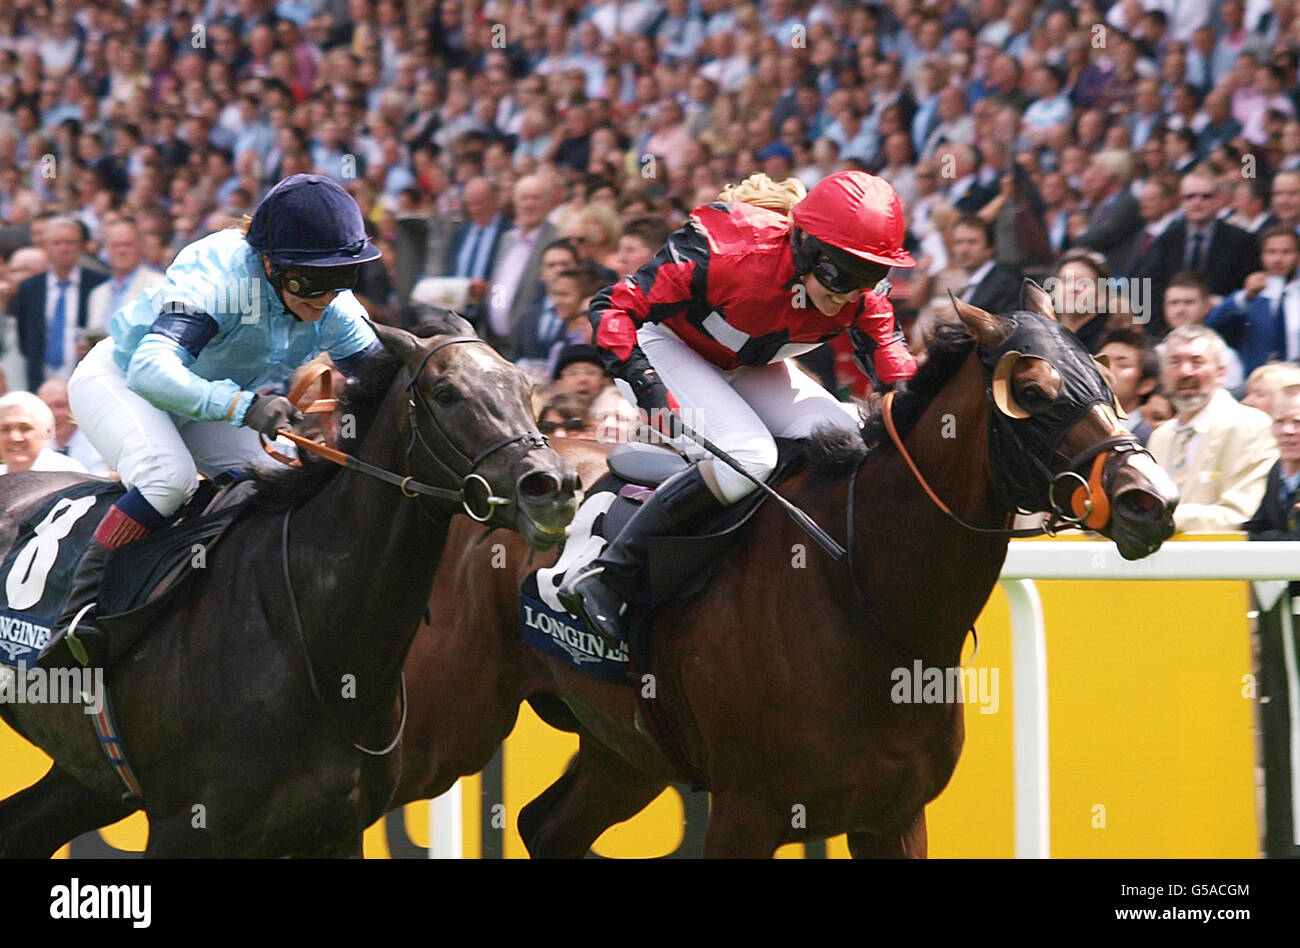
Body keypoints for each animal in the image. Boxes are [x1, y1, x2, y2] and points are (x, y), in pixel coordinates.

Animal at [0, 319, 579, 858]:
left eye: (524, 387)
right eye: (446, 393)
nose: (553, 486)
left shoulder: (336, 830)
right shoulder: (184, 828)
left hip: (89, 775)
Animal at [392, 284, 1180, 853]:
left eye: (1106, 377)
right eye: (1036, 394)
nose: (1152, 500)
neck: (861, 592)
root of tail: (461, 484)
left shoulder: (894, 816)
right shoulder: (749, 810)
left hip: (626, 748)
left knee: (545, 825)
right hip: (444, 719)